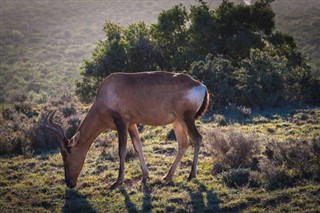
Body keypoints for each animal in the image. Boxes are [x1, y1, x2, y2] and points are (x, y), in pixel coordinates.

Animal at [42, 72, 209, 190]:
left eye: (64, 153)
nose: (69, 183)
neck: (108, 90)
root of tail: (200, 85)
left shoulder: (121, 122)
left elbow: (121, 150)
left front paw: (117, 182)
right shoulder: (131, 124)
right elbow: (137, 147)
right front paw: (145, 176)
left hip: (187, 119)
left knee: (197, 139)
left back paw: (191, 175)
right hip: (177, 121)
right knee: (184, 143)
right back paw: (167, 176)